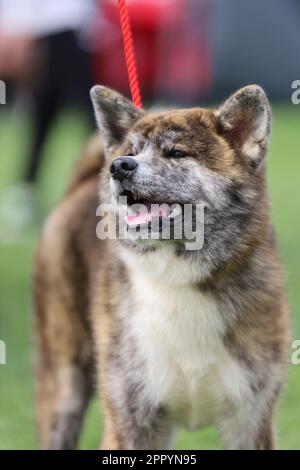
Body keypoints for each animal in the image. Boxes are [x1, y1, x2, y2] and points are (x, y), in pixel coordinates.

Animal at [34, 85, 290, 452]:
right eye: (132, 152)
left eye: (177, 153)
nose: (118, 166)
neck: (179, 278)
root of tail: (79, 187)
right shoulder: (131, 420)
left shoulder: (251, 422)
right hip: (62, 384)